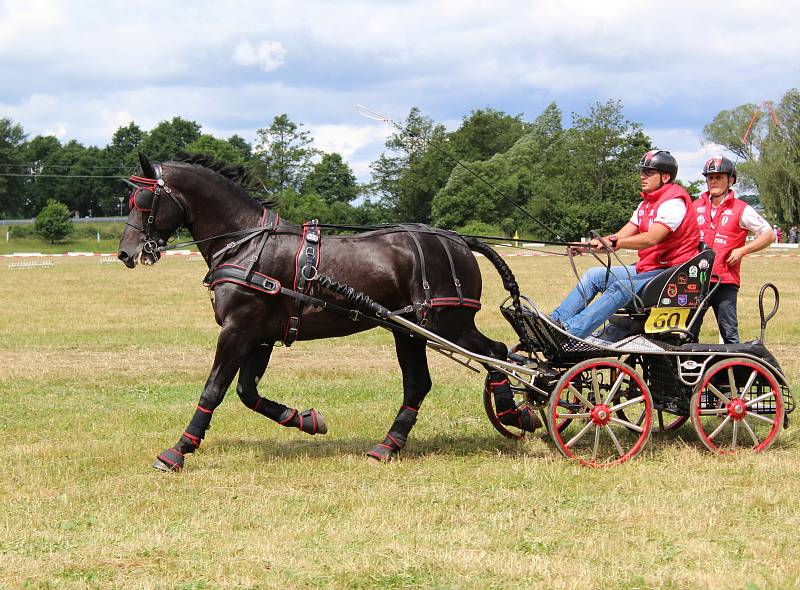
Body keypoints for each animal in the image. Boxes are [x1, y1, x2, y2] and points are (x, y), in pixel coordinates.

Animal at [119, 153, 532, 472]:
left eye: (143, 201)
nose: (125, 253)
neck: (245, 243)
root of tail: (458, 239)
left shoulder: (238, 330)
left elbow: (214, 389)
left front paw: (178, 450)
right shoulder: (261, 336)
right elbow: (247, 392)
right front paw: (306, 420)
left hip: (448, 324)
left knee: (496, 353)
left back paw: (514, 412)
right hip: (410, 329)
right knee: (420, 383)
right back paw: (389, 444)